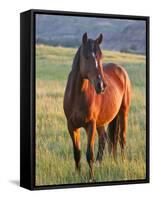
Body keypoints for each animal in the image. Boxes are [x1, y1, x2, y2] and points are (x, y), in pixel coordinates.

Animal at [63, 32, 131, 180]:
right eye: (87, 57)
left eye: (101, 57)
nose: (101, 85)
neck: (77, 96)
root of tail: (121, 70)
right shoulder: (72, 126)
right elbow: (77, 152)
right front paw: (77, 175)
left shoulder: (91, 125)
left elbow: (90, 154)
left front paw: (91, 177)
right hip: (101, 122)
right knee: (105, 139)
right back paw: (104, 164)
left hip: (123, 113)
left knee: (121, 138)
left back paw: (122, 162)